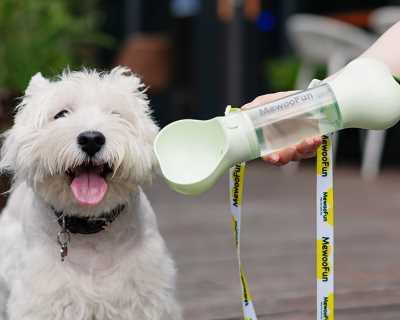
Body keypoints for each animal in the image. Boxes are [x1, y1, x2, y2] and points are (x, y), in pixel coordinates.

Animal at [0, 68, 182, 320]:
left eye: (115, 114)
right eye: (61, 114)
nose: (91, 139)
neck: (90, 231)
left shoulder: (143, 297)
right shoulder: (44, 298)